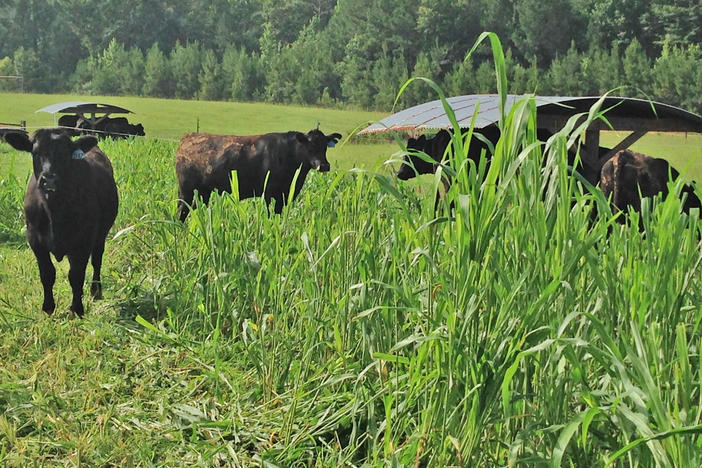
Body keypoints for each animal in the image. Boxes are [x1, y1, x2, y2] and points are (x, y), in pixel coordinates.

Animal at [3, 130, 119, 316]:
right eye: (36, 153)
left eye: (65, 154)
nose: (49, 179)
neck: (54, 210)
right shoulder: (35, 239)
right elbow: (47, 273)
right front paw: (48, 307)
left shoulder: (83, 240)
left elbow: (76, 275)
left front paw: (76, 309)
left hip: (101, 234)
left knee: (97, 260)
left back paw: (95, 291)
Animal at [175, 129, 342, 220]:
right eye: (310, 146)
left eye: (325, 146)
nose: (324, 165)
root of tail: (187, 138)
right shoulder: (269, 193)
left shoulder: (284, 196)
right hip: (187, 192)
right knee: (181, 211)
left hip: (202, 193)